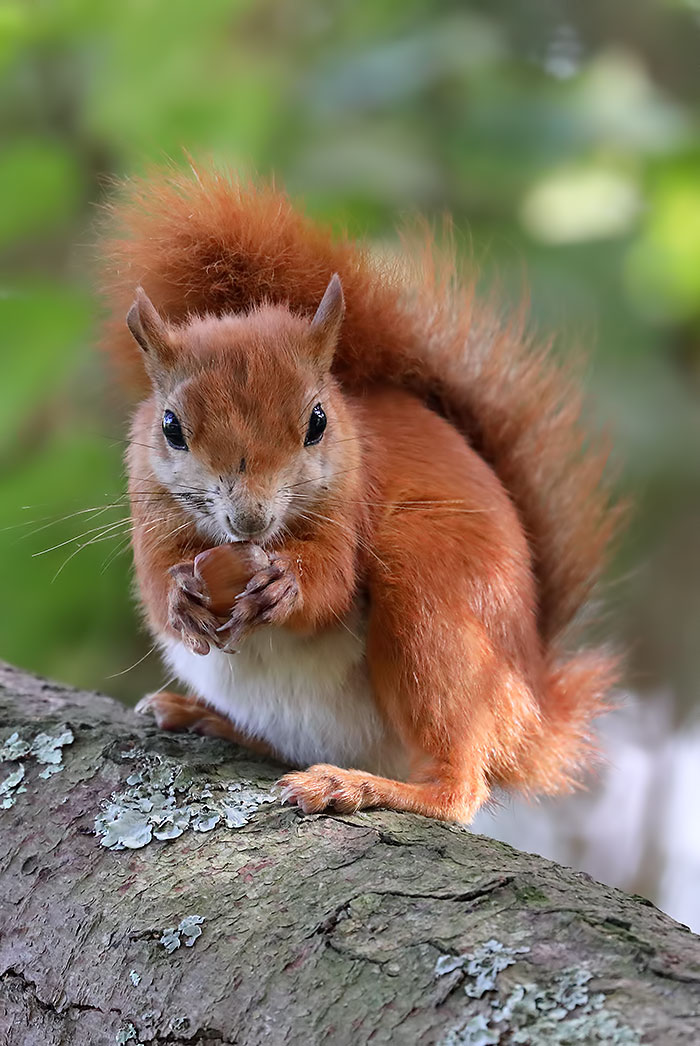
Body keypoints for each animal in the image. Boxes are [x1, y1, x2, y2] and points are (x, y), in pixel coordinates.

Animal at [100, 165, 619, 824]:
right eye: (170, 427)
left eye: (318, 421)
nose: (249, 520)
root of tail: (531, 714)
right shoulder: (149, 509)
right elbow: (152, 582)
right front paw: (179, 599)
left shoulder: (350, 504)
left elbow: (332, 584)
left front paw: (286, 584)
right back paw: (204, 717)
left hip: (433, 609)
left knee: (458, 789)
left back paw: (358, 785)